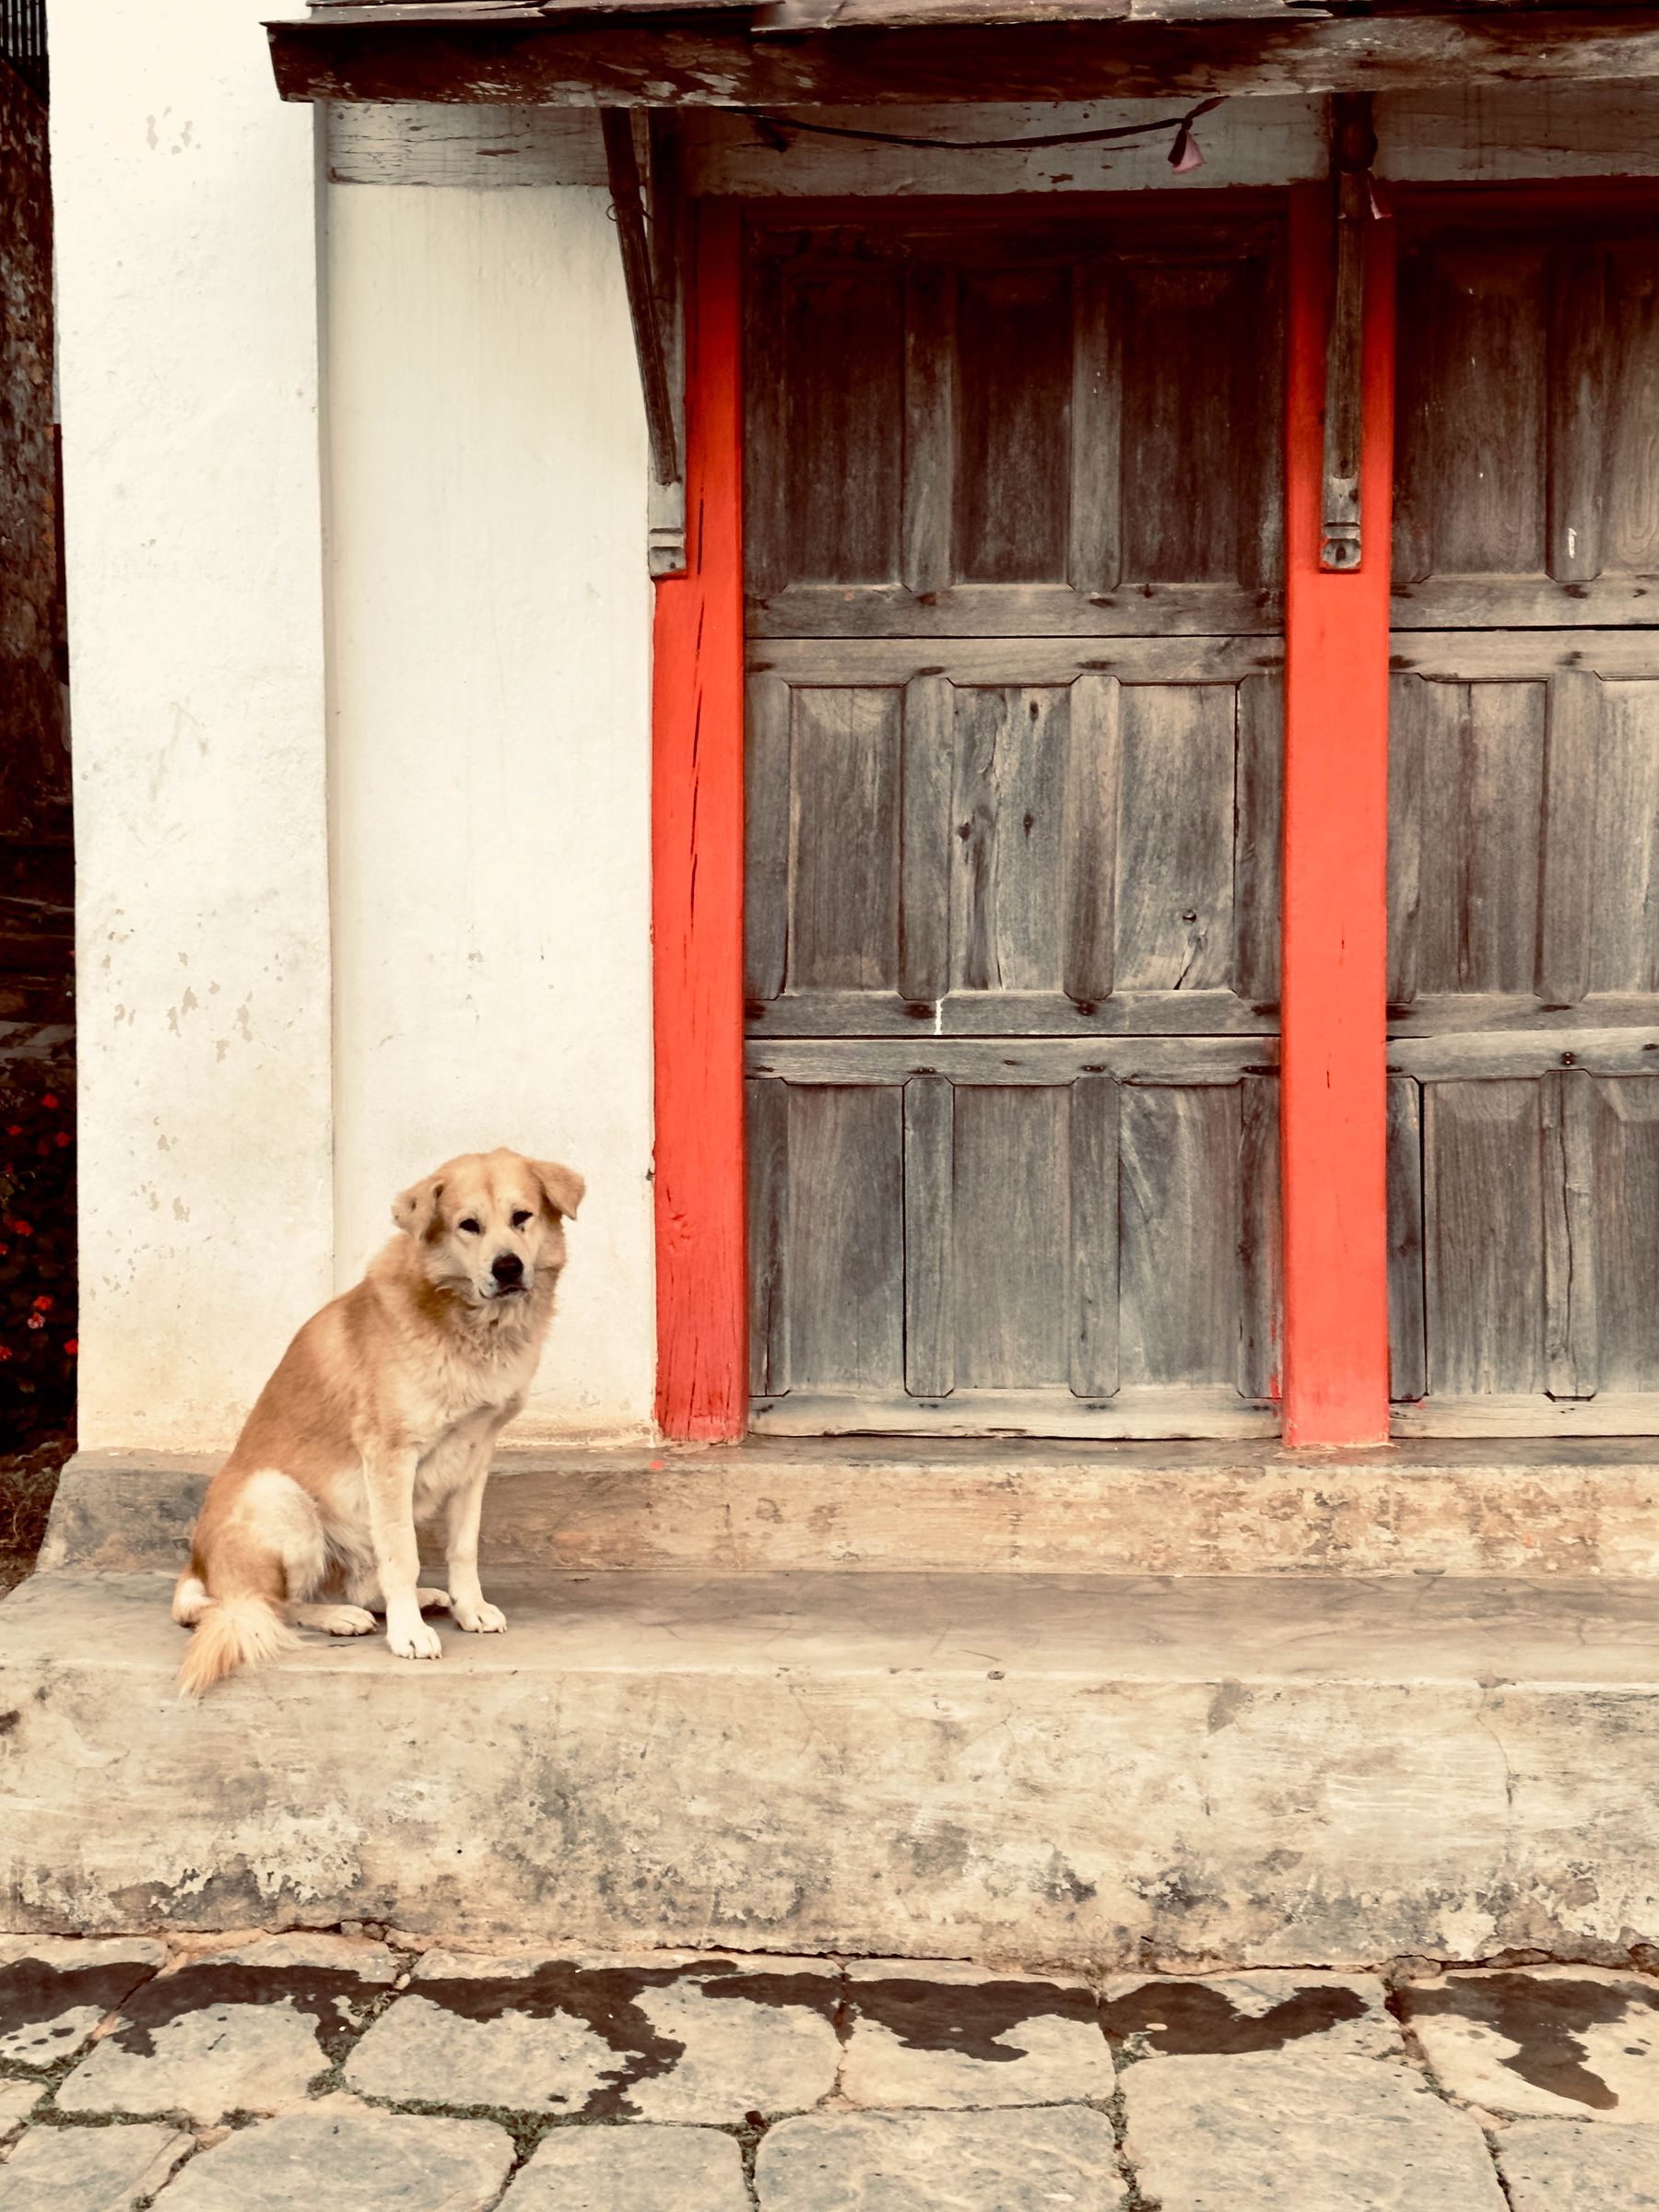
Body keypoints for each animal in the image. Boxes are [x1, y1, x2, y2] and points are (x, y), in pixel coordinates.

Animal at [175, 1159, 583, 1689]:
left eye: (522, 1217)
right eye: (468, 1225)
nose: (508, 1267)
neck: (466, 1324)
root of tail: (195, 1570)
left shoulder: (475, 1457)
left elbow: (463, 1547)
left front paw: (469, 1608)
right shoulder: (390, 1455)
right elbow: (403, 1556)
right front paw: (408, 1635)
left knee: (357, 1588)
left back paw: (418, 1601)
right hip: (279, 1497)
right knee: (270, 1605)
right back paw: (339, 1617)